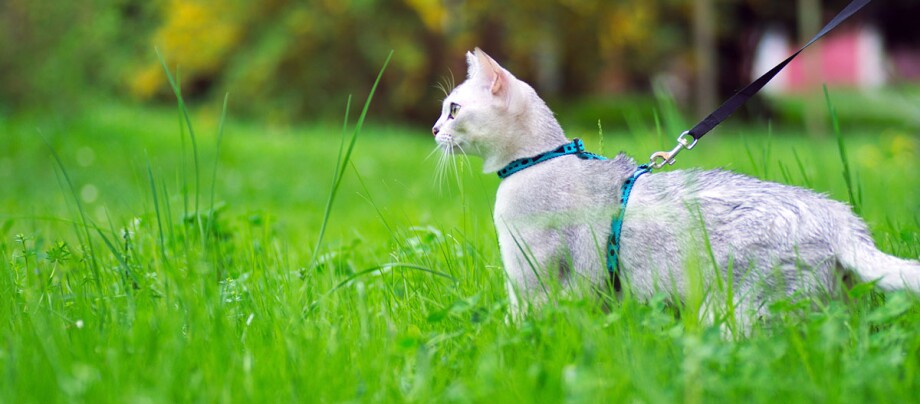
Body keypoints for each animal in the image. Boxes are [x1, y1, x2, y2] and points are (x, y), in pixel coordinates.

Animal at [432, 47, 920, 326]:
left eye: (453, 109)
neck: (538, 161)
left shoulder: (531, 280)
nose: (435, 129)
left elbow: (519, 323)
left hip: (736, 311)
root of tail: (842, 220)